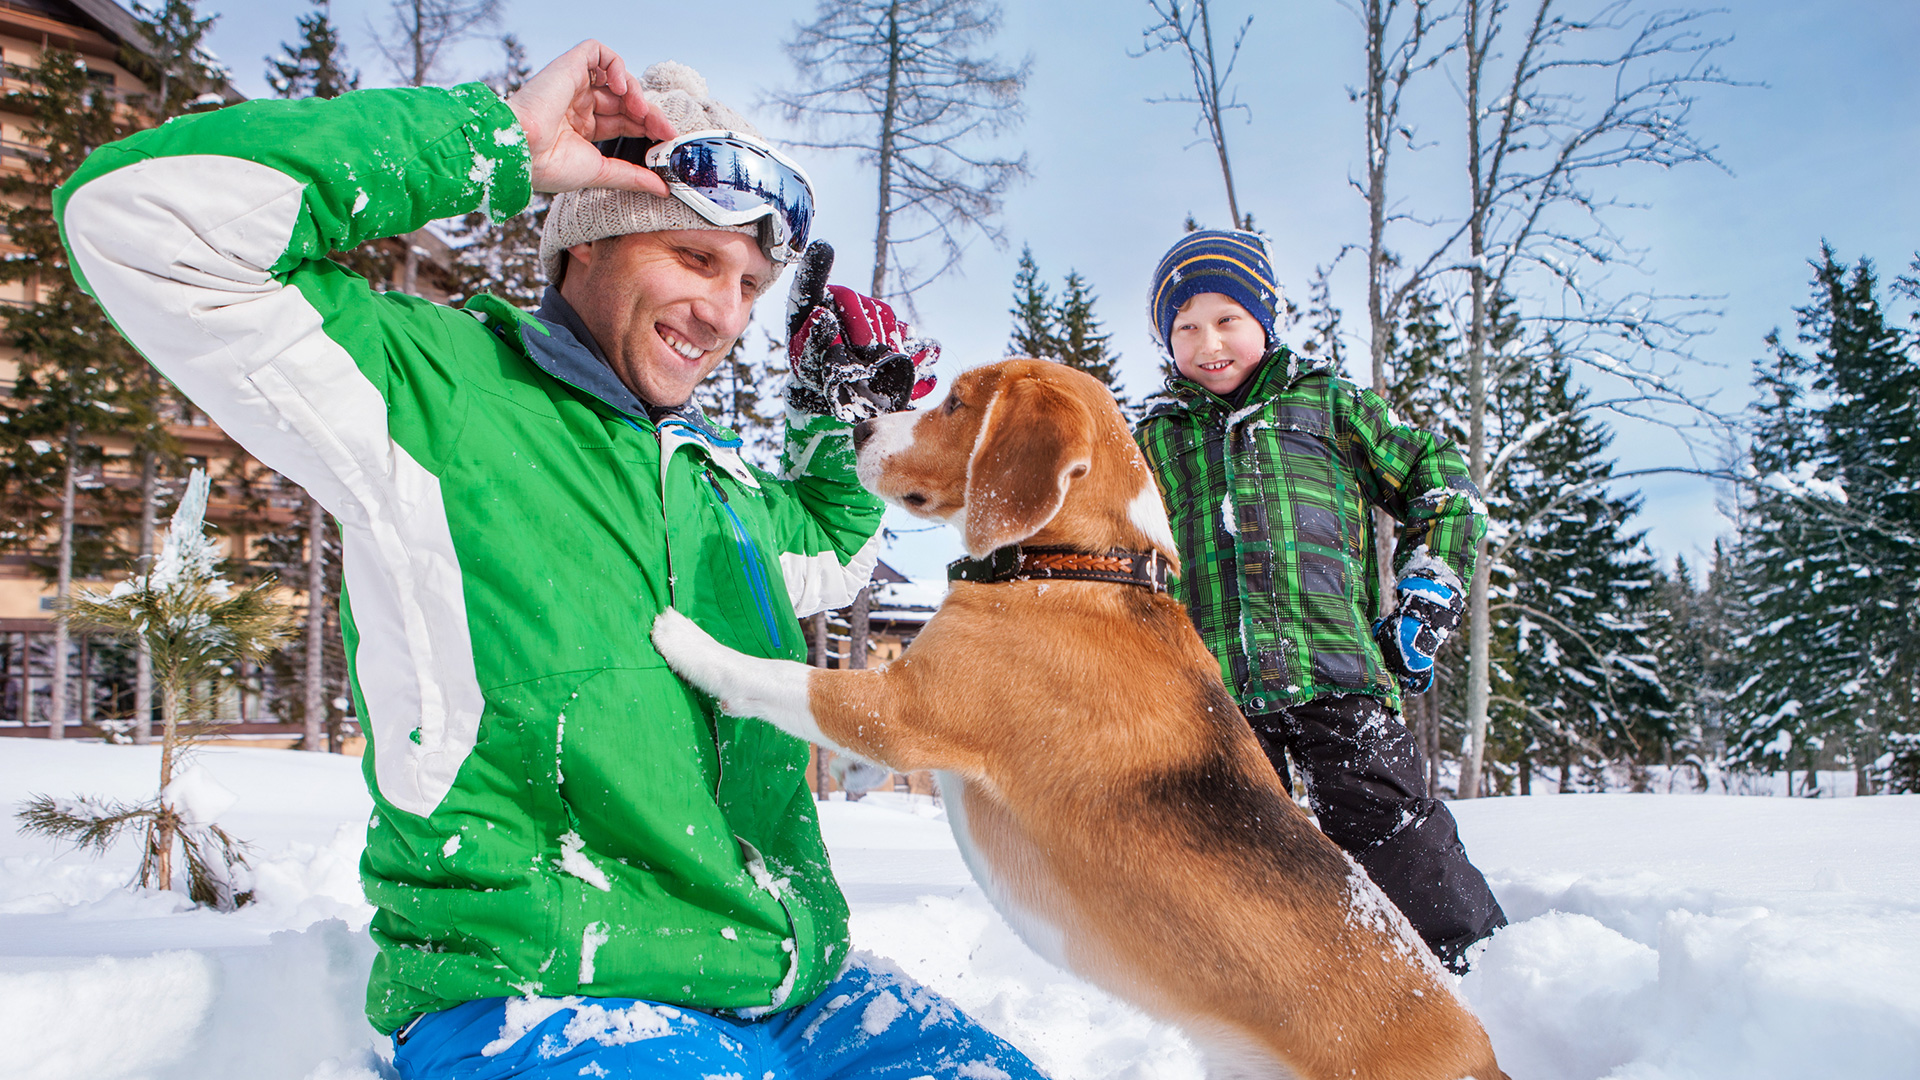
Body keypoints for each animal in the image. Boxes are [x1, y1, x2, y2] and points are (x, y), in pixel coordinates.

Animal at [652, 357, 1505, 1068]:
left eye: (956, 403)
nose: (859, 429)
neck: (1081, 566)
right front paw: (859, 783)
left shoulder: (902, 707)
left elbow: (786, 681)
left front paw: (687, 641)